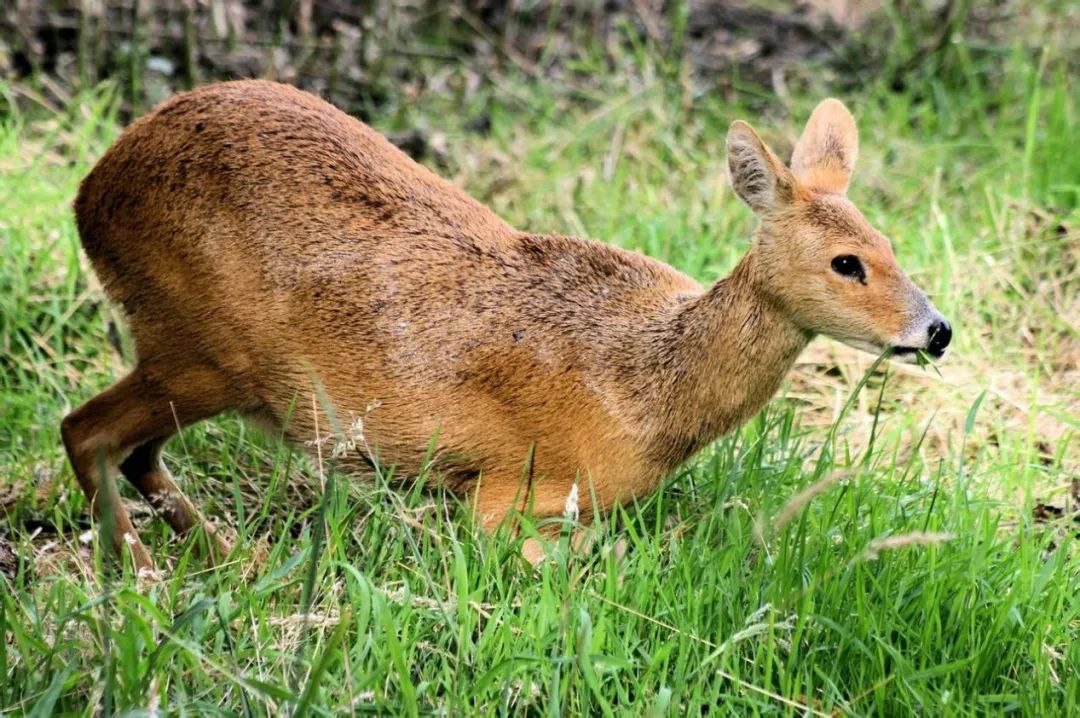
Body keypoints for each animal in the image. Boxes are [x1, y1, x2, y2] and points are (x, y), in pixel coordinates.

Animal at [63, 79, 950, 570]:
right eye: (847, 262)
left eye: (890, 243)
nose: (936, 330)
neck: (649, 385)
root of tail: (90, 193)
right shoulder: (508, 490)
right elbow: (591, 555)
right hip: (199, 344)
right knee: (87, 431)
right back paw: (143, 574)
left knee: (132, 450)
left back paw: (227, 558)